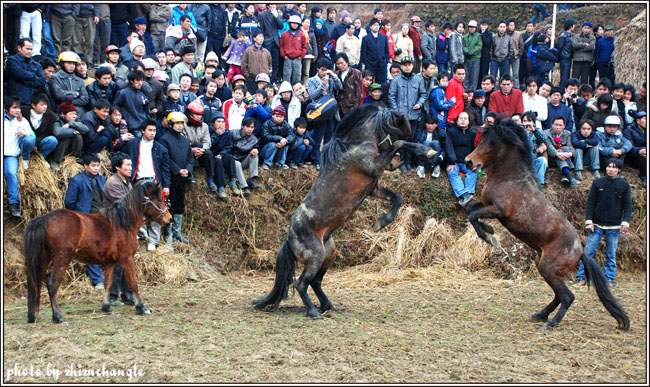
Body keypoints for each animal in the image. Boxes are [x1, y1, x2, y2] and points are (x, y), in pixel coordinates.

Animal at [24, 182, 171, 324]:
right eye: (159, 200)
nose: (169, 219)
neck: (123, 223)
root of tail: (43, 219)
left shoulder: (110, 262)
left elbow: (108, 283)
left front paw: (106, 306)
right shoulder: (127, 258)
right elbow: (133, 283)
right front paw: (141, 307)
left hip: (43, 260)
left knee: (35, 285)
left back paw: (32, 316)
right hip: (61, 259)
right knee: (52, 285)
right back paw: (58, 317)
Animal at [253, 105, 436, 318]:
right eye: (392, 131)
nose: (396, 164)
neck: (356, 144)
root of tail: (289, 239)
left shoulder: (373, 187)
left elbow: (396, 198)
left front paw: (381, 222)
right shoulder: (374, 166)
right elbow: (398, 144)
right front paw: (427, 150)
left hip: (328, 254)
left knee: (315, 282)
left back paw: (327, 305)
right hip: (316, 257)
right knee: (301, 284)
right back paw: (313, 311)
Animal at [466, 121, 628, 330]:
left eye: (491, 143)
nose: (469, 162)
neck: (510, 179)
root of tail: (580, 252)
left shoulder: (498, 210)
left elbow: (473, 215)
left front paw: (489, 236)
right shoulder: (487, 205)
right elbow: (470, 209)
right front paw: (489, 231)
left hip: (549, 268)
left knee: (567, 296)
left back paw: (550, 322)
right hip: (543, 265)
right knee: (559, 295)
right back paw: (540, 314)